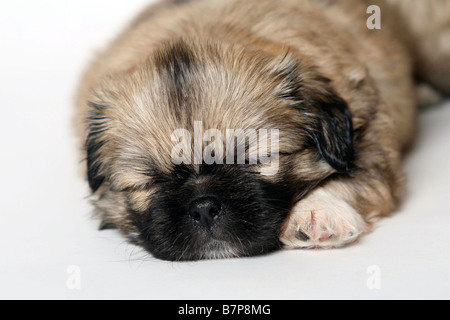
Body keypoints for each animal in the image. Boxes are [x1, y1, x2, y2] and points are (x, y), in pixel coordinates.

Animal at [75, 0, 448, 260]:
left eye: (257, 160)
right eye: (148, 183)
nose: (203, 206)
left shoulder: (370, 131)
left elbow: (355, 175)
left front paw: (316, 213)